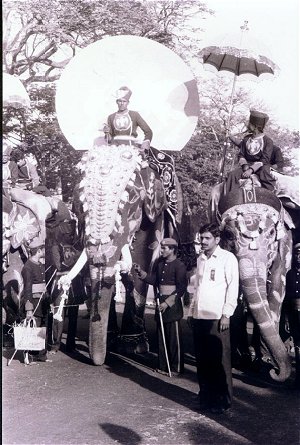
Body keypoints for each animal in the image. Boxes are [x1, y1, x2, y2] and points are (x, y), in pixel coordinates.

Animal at [211, 180, 298, 382]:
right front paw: (241, 361)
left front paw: (265, 362)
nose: (276, 372)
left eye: (272, 233)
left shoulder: (285, 248)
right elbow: (235, 297)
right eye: (228, 235)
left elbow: (276, 289)